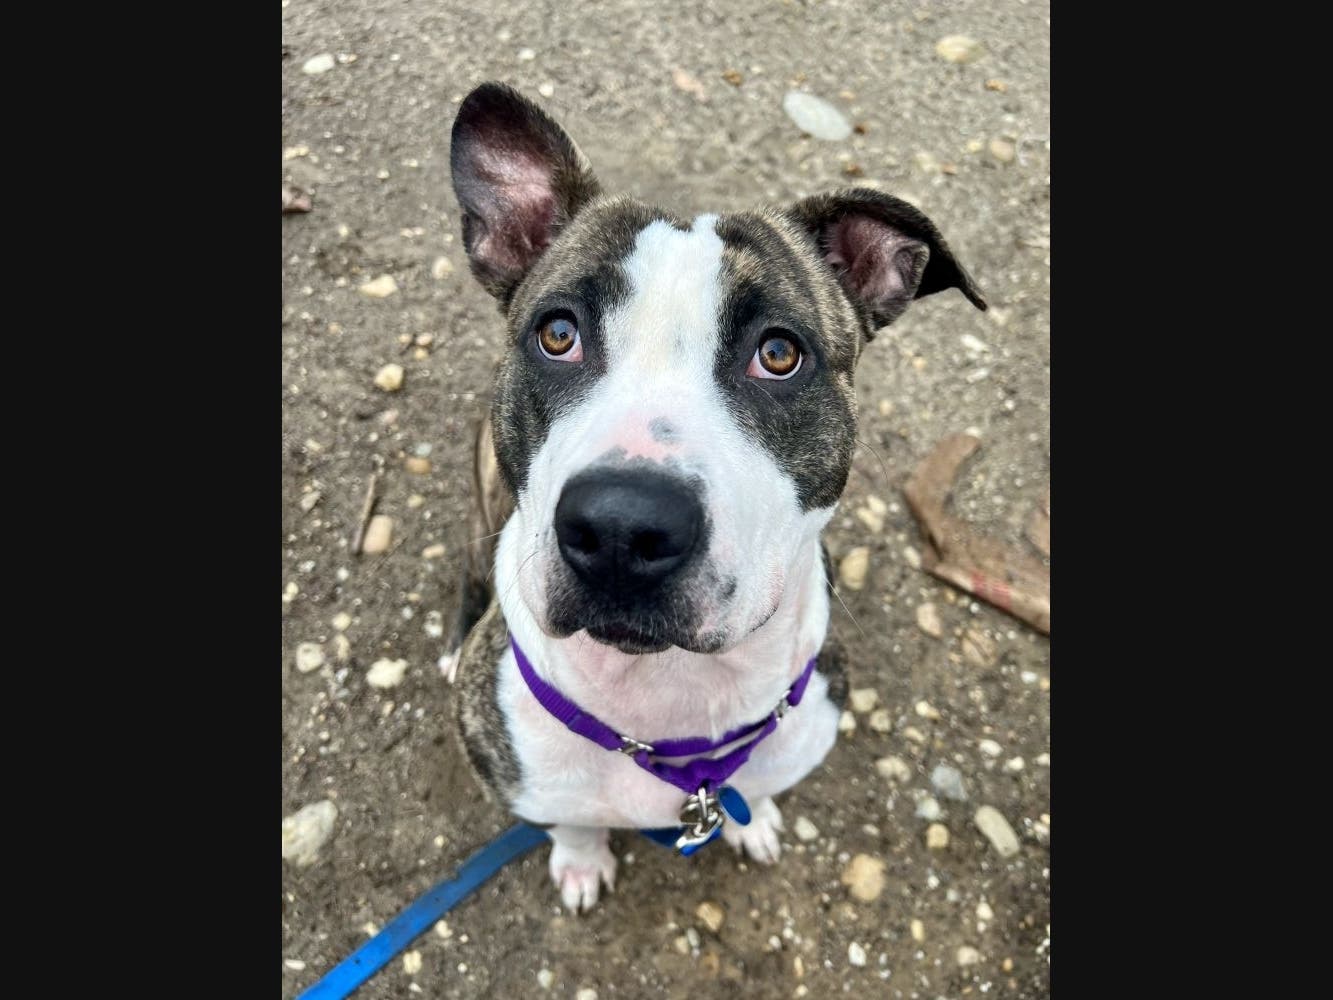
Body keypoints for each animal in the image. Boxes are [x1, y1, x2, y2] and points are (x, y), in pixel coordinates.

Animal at [442, 84, 986, 917]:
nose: (620, 528)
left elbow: (755, 792)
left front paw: (752, 821)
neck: (668, 706)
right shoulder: (530, 783)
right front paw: (580, 861)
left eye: (779, 353)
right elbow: (572, 822)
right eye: (557, 334)